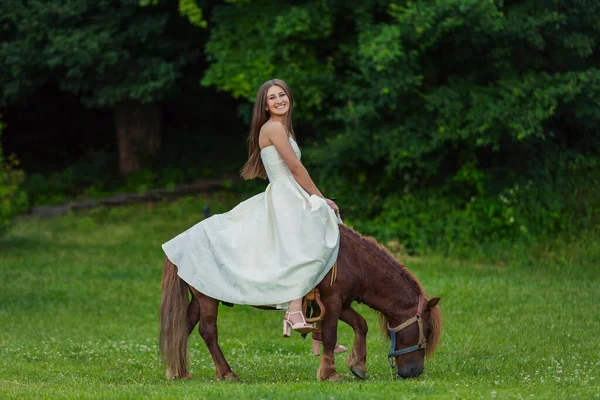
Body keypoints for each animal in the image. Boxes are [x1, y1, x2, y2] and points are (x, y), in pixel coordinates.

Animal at [158, 225, 440, 382]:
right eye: (426, 330)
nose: (415, 372)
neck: (354, 260)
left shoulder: (341, 303)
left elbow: (361, 324)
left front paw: (357, 365)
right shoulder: (332, 302)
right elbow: (329, 335)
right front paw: (329, 374)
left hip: (201, 298)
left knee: (182, 329)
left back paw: (179, 372)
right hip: (208, 299)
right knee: (208, 332)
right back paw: (226, 373)